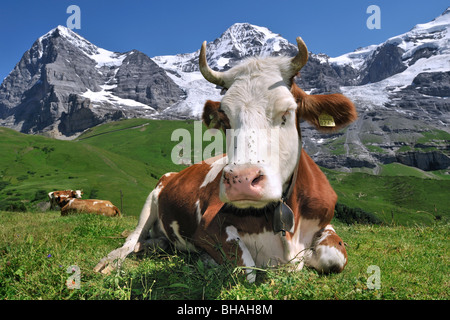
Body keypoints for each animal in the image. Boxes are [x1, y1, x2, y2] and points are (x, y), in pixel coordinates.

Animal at [93, 37, 356, 282]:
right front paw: (207, 260)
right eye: (225, 119)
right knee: (130, 240)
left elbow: (334, 256)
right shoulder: (208, 227)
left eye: (287, 112)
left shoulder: (326, 224)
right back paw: (109, 262)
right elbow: (247, 269)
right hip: (150, 201)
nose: (242, 180)